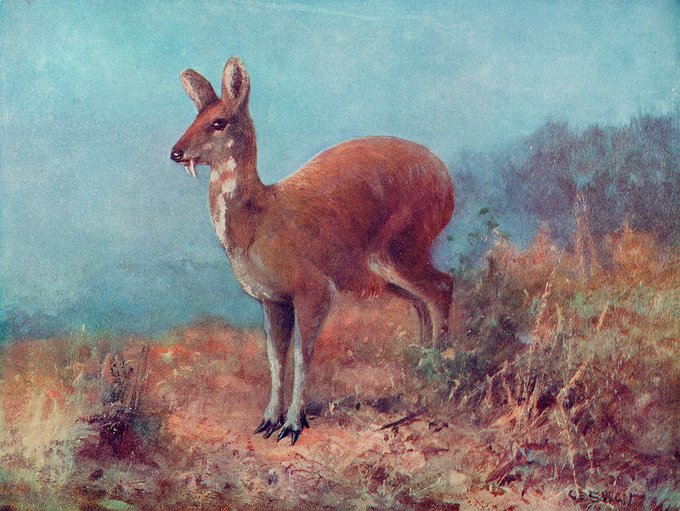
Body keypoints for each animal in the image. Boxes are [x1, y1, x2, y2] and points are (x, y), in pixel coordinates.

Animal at [170, 56, 454, 445]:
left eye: (218, 122)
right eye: (194, 116)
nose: (175, 152)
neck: (257, 224)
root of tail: (447, 181)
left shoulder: (315, 288)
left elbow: (303, 355)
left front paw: (292, 425)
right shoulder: (272, 299)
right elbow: (276, 357)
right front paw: (267, 420)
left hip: (402, 248)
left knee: (442, 286)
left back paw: (438, 374)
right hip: (381, 272)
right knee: (422, 301)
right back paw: (418, 369)